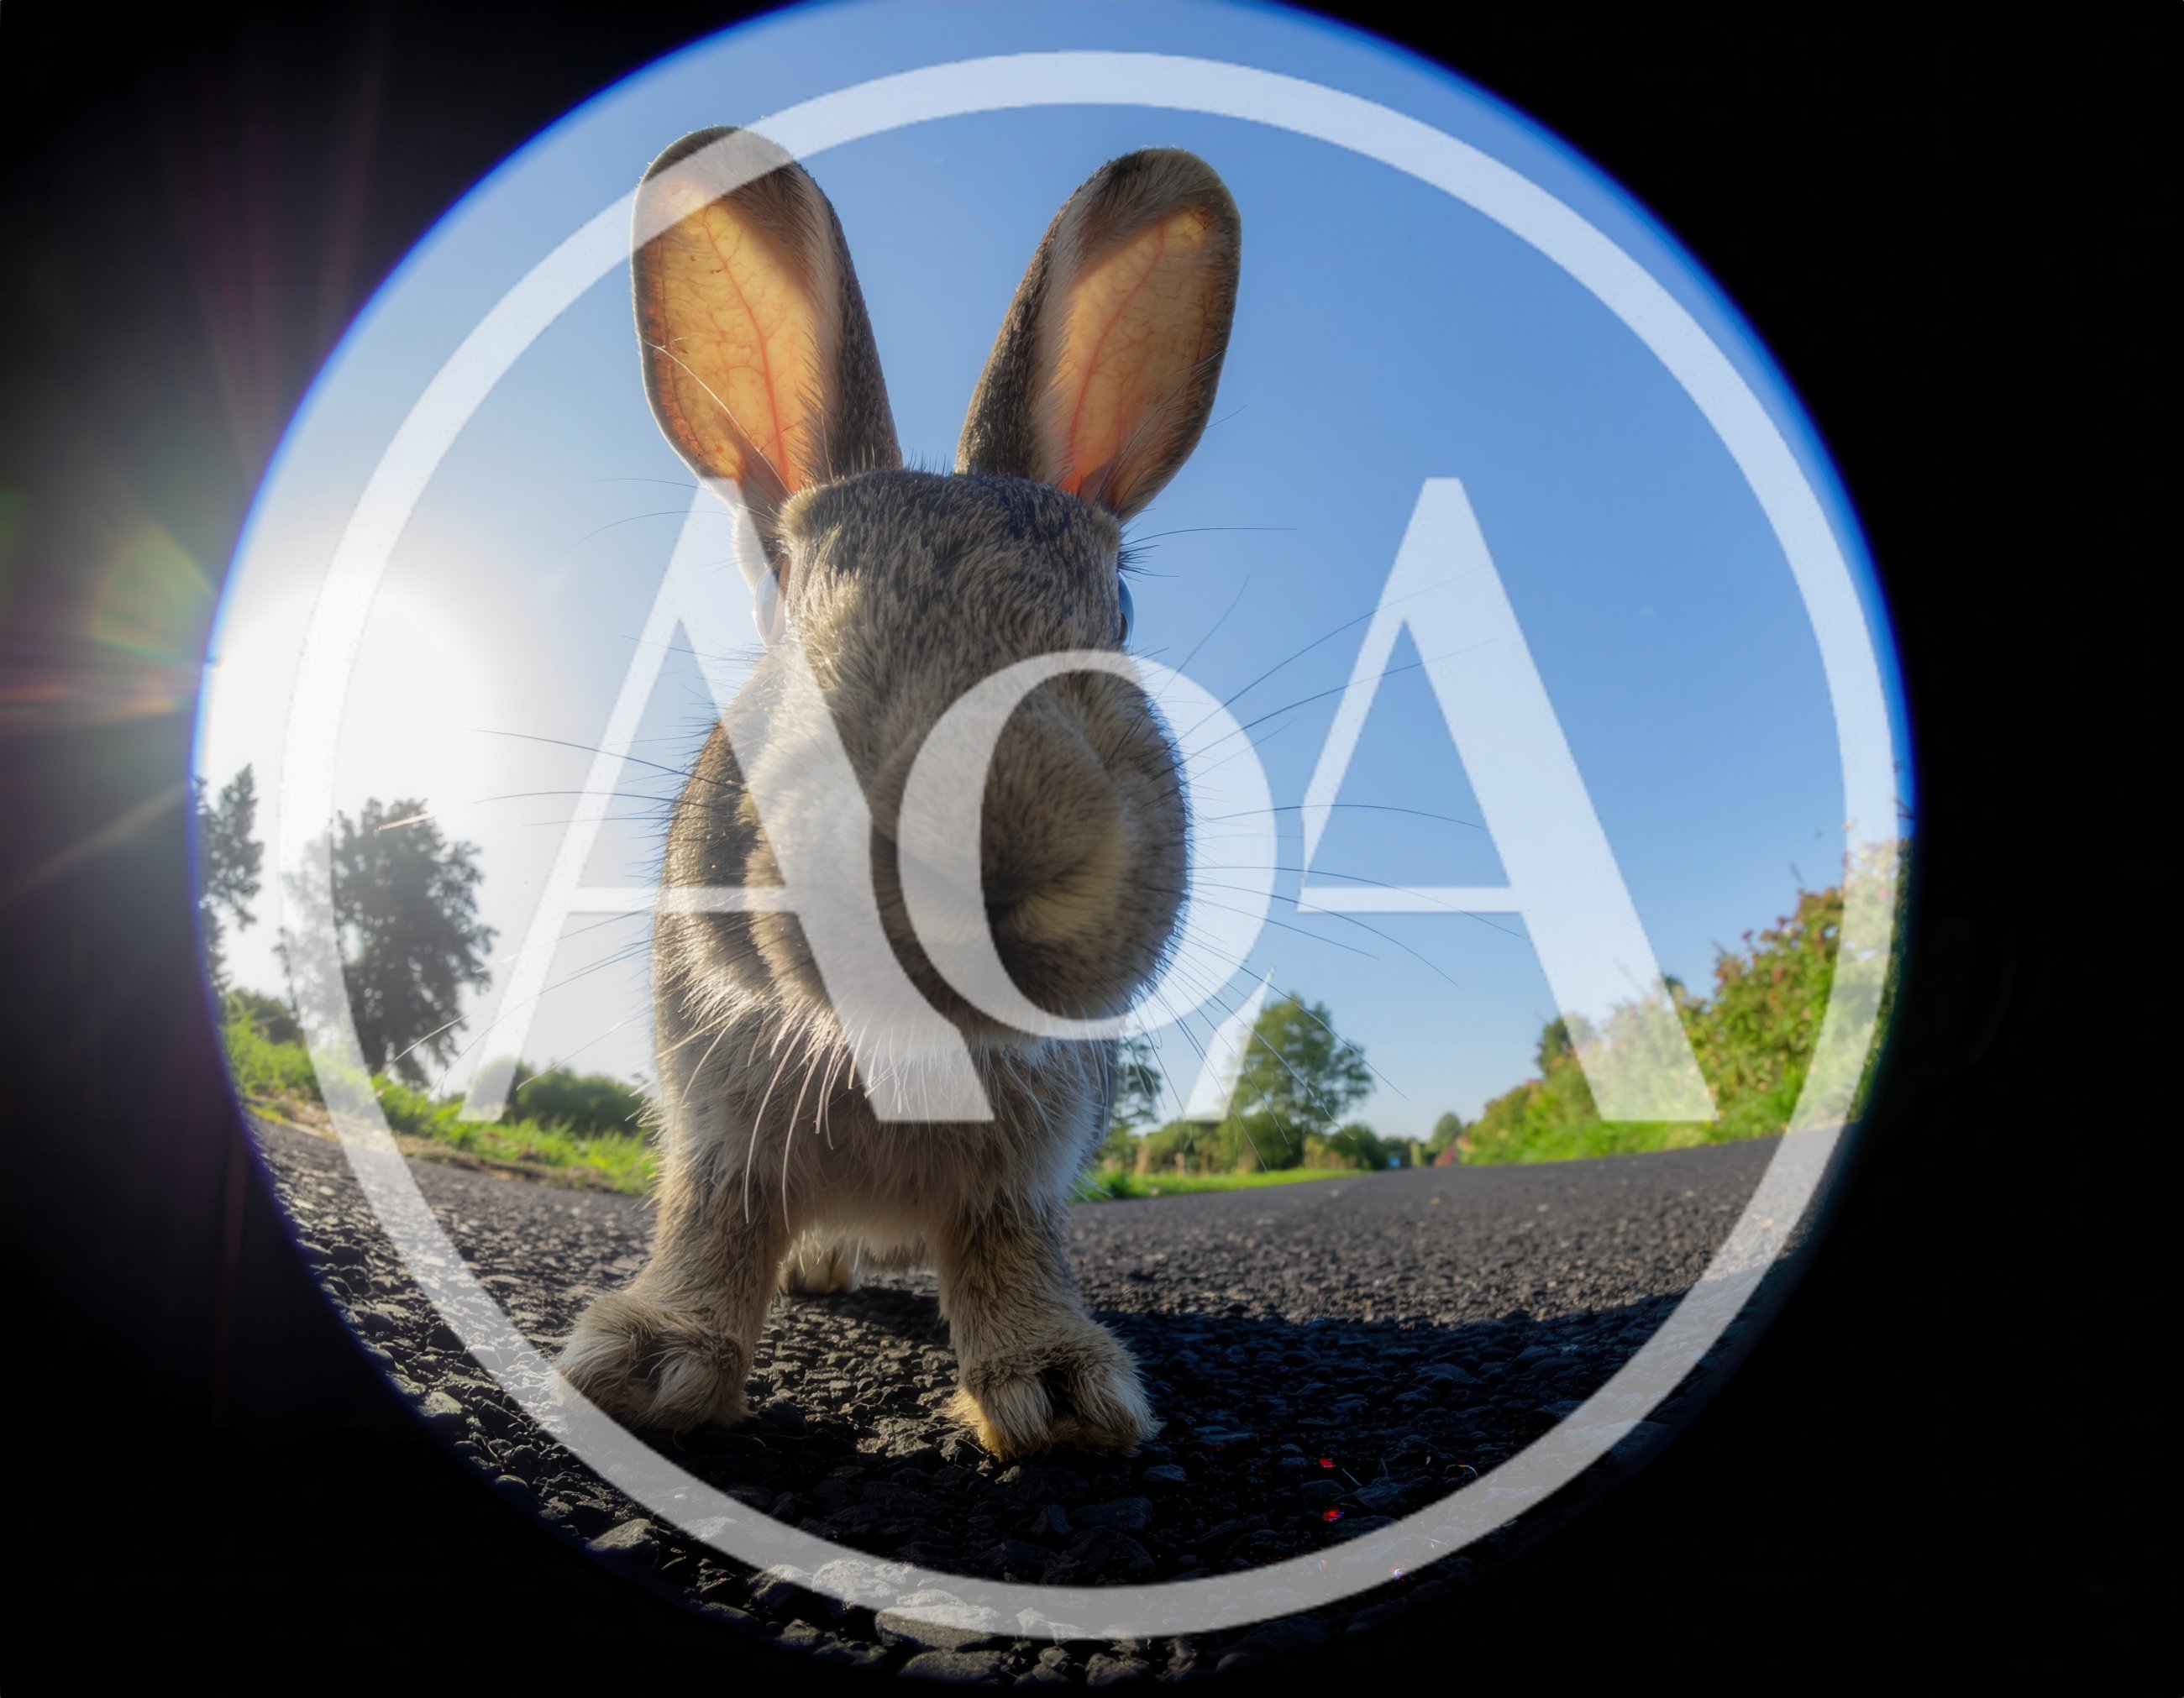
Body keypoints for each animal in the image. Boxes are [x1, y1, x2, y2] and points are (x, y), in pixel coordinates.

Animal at [555, 128, 1240, 1461]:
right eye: (787, 600)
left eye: (1122, 608)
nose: (983, 846)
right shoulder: (718, 1122)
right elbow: (712, 1224)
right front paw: (647, 1366)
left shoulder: (1020, 1172)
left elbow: (1005, 1246)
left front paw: (1062, 1395)